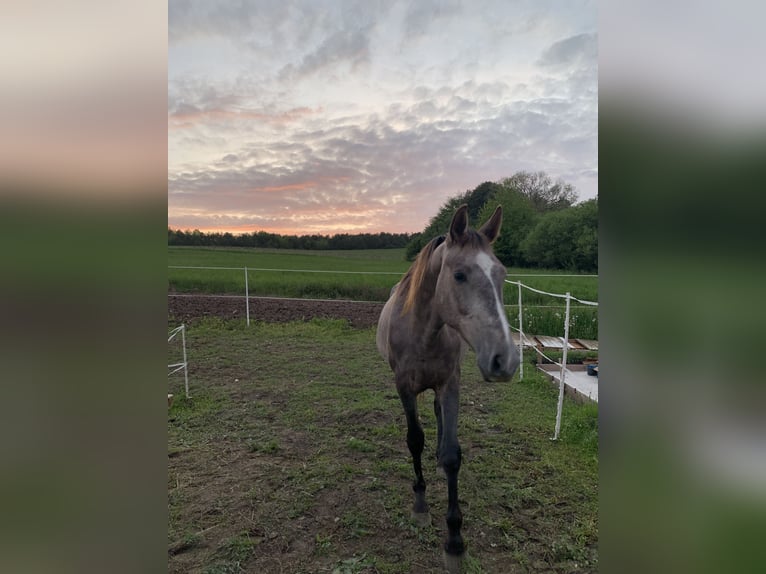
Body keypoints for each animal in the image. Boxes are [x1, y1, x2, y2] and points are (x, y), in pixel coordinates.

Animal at [377, 204, 520, 572]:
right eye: (459, 275)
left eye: (502, 274)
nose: (506, 359)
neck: (422, 331)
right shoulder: (404, 387)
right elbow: (414, 440)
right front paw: (421, 505)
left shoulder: (450, 383)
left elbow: (453, 454)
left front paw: (455, 542)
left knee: (440, 416)